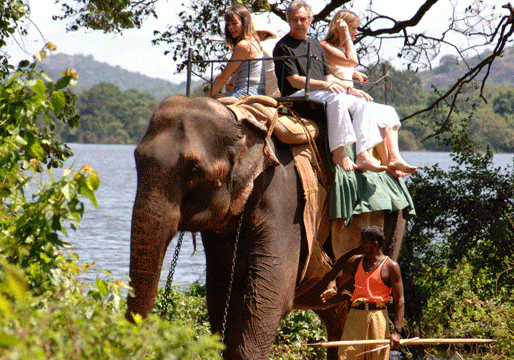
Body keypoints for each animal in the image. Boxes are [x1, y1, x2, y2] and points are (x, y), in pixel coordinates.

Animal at [126, 94, 406, 358]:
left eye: (193, 169)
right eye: (136, 158)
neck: (242, 123)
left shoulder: (285, 202)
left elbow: (271, 297)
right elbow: (220, 293)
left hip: (393, 228)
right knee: (337, 313)